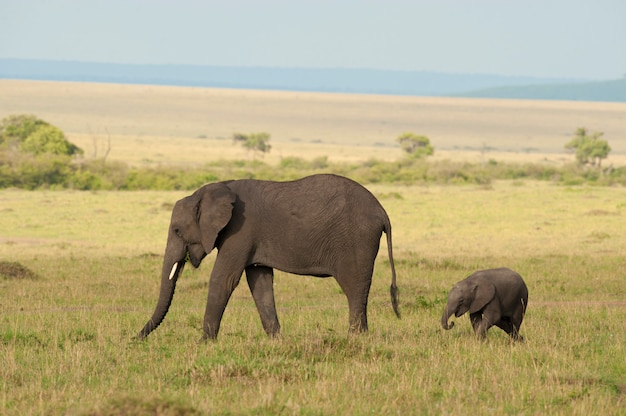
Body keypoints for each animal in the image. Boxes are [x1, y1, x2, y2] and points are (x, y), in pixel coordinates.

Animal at [138, 174, 400, 340]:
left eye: (177, 231)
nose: (136, 339)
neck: (213, 189)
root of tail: (383, 212)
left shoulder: (240, 229)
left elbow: (224, 280)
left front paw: (204, 343)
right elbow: (260, 282)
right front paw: (276, 341)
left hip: (357, 240)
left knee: (354, 288)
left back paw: (355, 339)